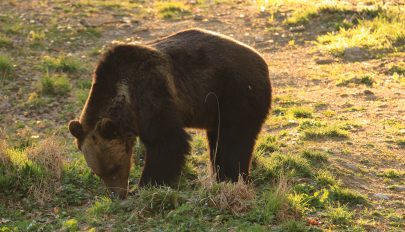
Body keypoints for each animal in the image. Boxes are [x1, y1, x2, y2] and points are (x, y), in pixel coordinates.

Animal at [68, 28, 272, 198]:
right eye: (98, 172)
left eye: (113, 168)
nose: (118, 194)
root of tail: (263, 62)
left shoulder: (150, 91)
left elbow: (167, 141)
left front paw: (145, 186)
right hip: (217, 108)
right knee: (217, 140)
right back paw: (220, 176)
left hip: (236, 92)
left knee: (234, 138)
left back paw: (232, 178)